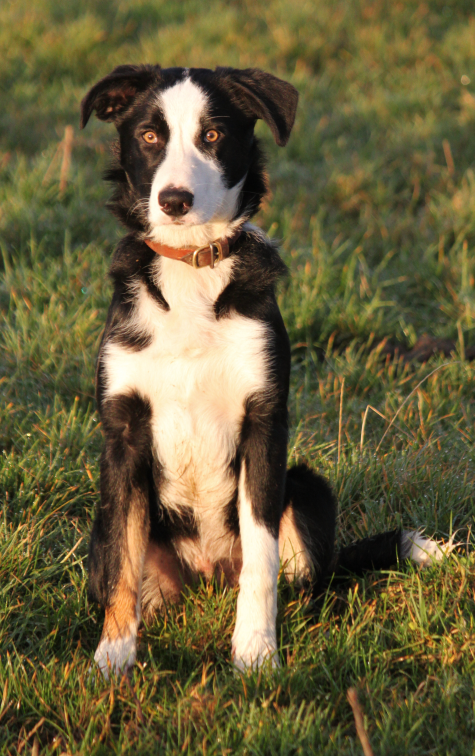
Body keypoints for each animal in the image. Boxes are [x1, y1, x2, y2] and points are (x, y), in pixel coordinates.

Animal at [80, 66, 452, 680]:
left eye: (211, 135)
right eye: (150, 137)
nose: (174, 201)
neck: (192, 268)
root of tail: (209, 577)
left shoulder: (263, 422)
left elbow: (261, 557)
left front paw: (255, 653)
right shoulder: (124, 432)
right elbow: (122, 567)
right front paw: (112, 658)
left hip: (305, 488)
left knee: (312, 582)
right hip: (105, 521)